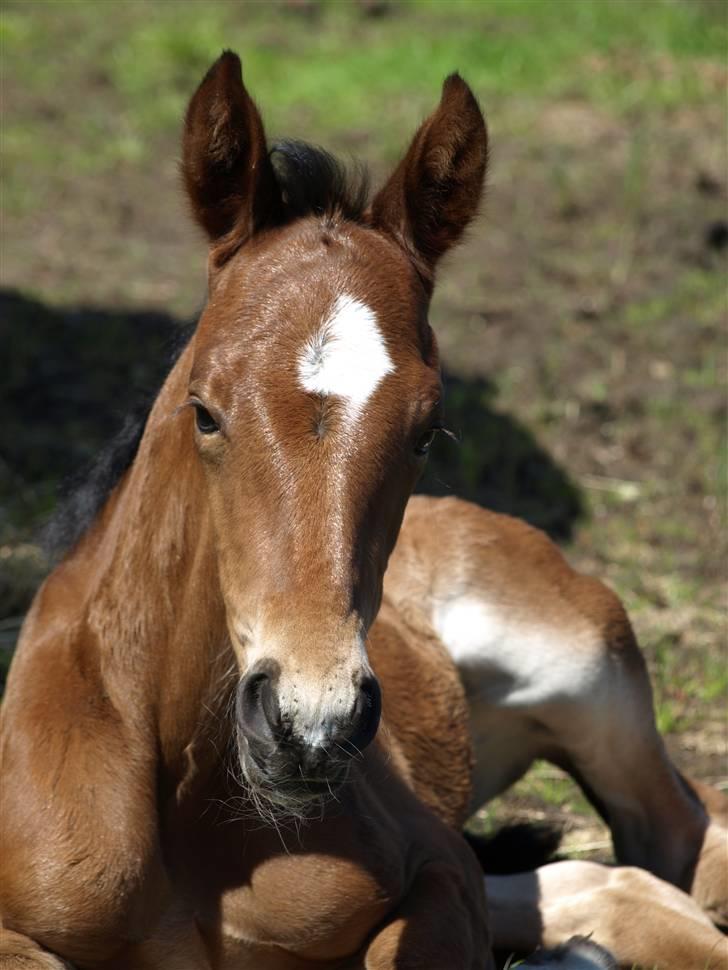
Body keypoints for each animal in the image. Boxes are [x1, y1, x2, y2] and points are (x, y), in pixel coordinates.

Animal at [0, 51, 724, 968]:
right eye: (203, 410)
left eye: (428, 429)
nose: (310, 725)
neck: (187, 789)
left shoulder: (439, 867)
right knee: (604, 879)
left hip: (587, 675)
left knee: (676, 836)